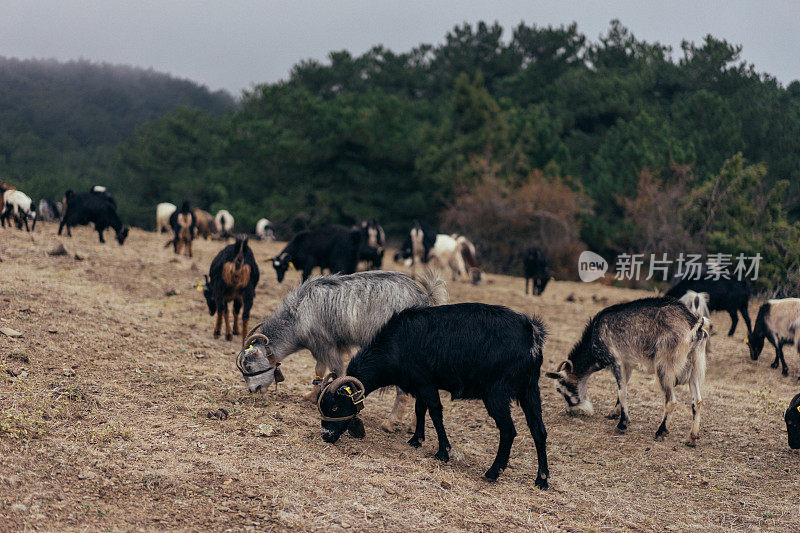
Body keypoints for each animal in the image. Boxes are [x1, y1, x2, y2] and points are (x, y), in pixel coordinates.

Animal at [238, 270, 450, 432]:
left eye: (248, 366)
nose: (253, 390)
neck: (298, 314)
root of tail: (426, 298)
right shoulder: (326, 346)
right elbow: (319, 370)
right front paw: (311, 396)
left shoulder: (326, 344)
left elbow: (335, 371)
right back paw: (413, 426)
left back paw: (390, 423)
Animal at [314, 304, 552, 486]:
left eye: (335, 407)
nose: (326, 436)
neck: (397, 343)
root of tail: (531, 334)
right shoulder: (419, 386)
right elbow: (421, 409)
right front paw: (416, 440)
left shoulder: (426, 382)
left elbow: (436, 413)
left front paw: (443, 452)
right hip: (530, 390)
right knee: (539, 431)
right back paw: (542, 480)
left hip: (497, 394)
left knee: (508, 431)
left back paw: (493, 472)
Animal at [548, 296, 708, 444]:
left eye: (560, 388)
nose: (570, 411)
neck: (595, 335)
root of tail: (693, 324)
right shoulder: (627, 364)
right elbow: (623, 387)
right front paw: (614, 413)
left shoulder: (616, 361)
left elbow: (622, 391)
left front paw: (622, 424)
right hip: (694, 365)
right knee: (697, 401)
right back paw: (692, 438)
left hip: (664, 367)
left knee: (671, 401)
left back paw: (661, 431)